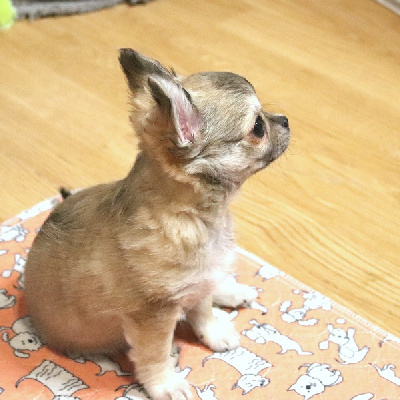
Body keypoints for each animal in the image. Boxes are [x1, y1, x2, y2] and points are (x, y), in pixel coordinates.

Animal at [24, 49, 290, 400]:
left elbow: (202, 310)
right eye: (258, 127)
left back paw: (228, 291)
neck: (200, 218)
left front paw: (213, 331)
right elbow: (155, 353)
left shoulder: (197, 279)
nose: (285, 120)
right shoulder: (152, 317)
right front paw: (165, 383)